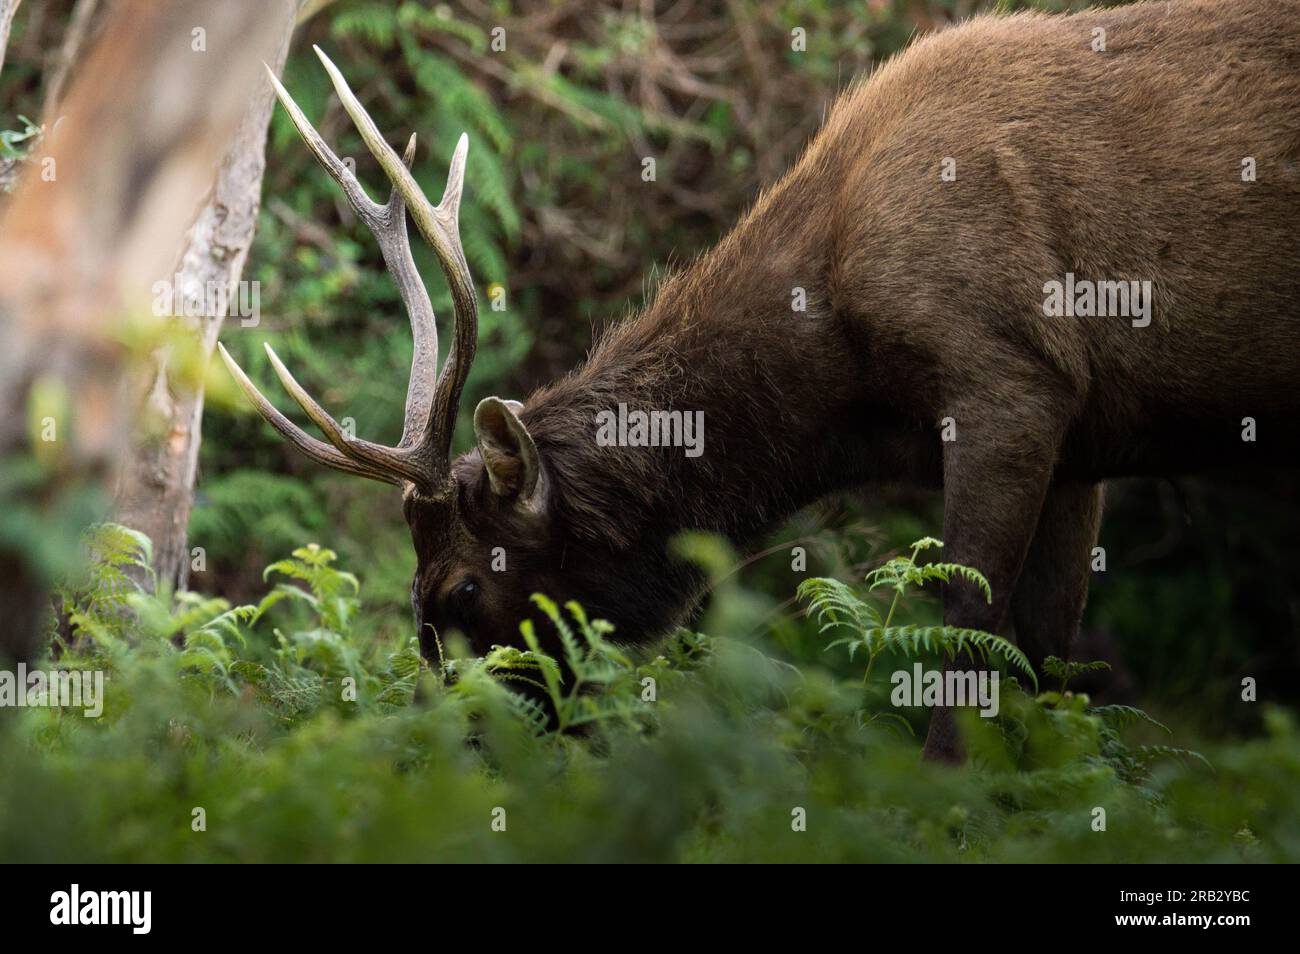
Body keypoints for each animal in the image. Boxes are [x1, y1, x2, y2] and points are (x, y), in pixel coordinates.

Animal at [220, 0, 1300, 764]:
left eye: (458, 589)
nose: (459, 750)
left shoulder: (1010, 378)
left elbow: (966, 640)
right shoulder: (1084, 439)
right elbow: (1045, 658)